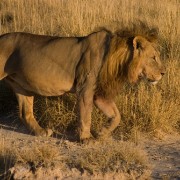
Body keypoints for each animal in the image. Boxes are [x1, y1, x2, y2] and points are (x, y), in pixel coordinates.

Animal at [0, 27, 165, 141]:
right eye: (153, 57)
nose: (163, 73)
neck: (118, 60)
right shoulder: (85, 89)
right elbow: (86, 115)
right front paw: (86, 138)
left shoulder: (99, 94)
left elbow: (116, 115)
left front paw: (102, 133)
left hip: (21, 86)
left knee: (25, 113)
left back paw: (42, 132)